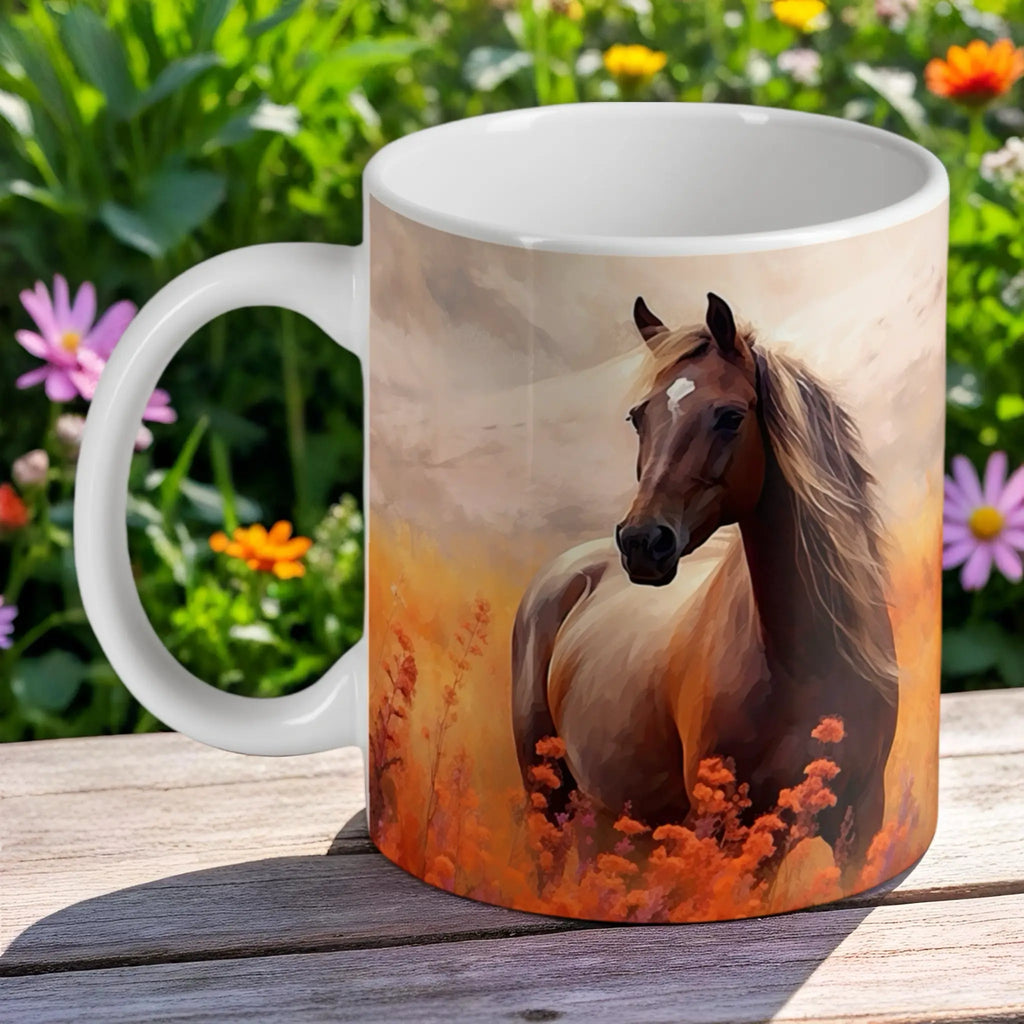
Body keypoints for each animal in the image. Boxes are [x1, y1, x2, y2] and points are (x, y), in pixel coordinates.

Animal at [511, 293, 899, 877]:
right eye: (638, 417)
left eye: (730, 416)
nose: (642, 542)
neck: (806, 663)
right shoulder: (727, 831)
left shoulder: (860, 819)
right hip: (550, 794)